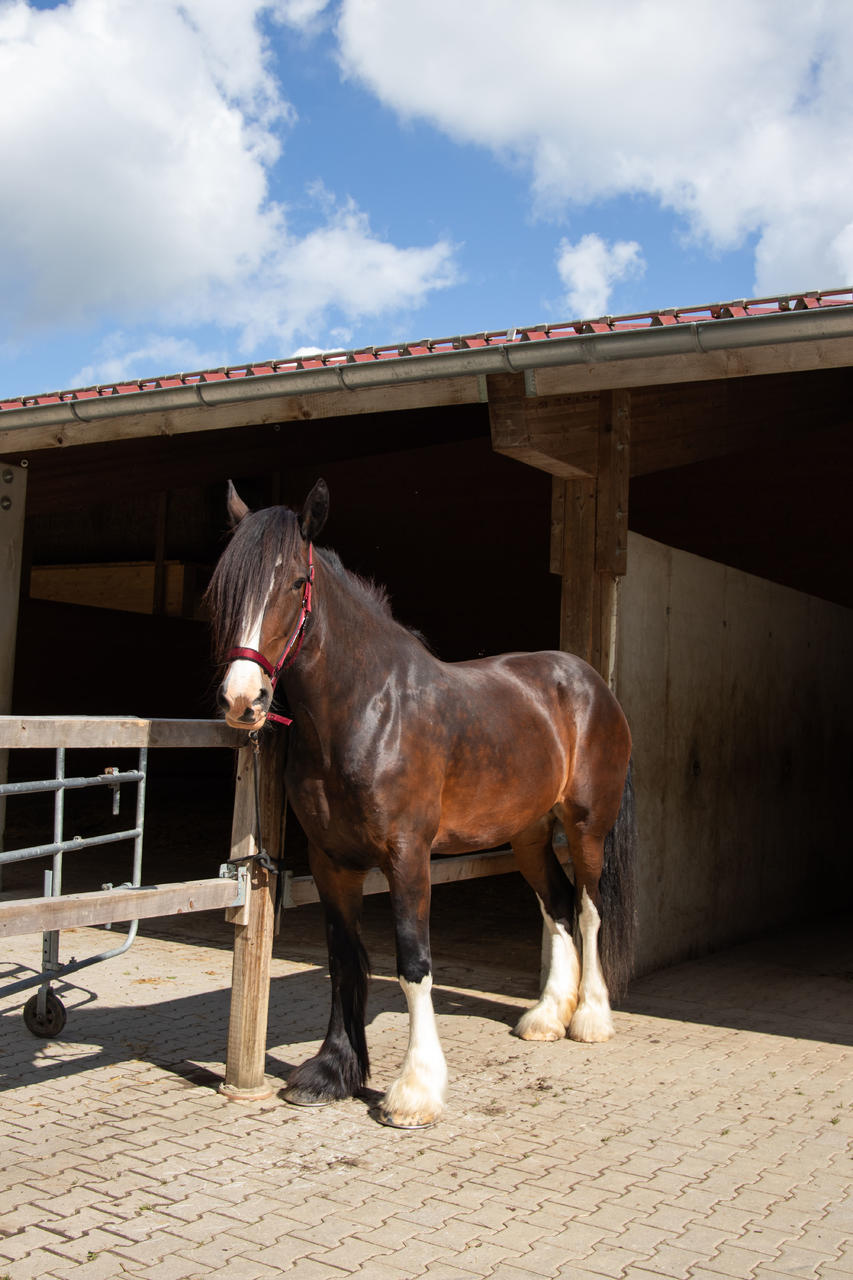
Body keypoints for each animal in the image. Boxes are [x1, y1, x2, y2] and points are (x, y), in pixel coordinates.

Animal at [206, 478, 636, 1128]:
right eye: (228, 589)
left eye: (297, 583)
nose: (242, 700)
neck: (366, 709)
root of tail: (590, 683)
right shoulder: (331, 862)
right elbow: (344, 959)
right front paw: (332, 1073)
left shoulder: (407, 857)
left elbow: (413, 963)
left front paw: (415, 1092)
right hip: (529, 834)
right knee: (557, 904)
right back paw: (544, 1018)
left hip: (587, 827)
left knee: (587, 908)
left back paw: (589, 1017)